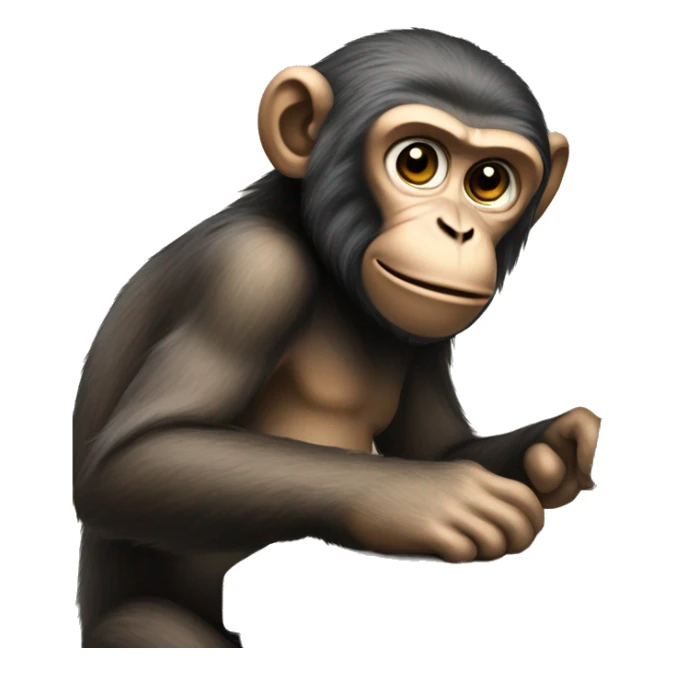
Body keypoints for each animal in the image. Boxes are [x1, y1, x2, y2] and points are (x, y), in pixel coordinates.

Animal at [73, 29, 600, 648]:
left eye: (489, 181)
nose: (457, 230)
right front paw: (421, 500)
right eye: (417, 162)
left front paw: (553, 449)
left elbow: (439, 447)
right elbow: (132, 463)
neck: (330, 273)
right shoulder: (249, 275)